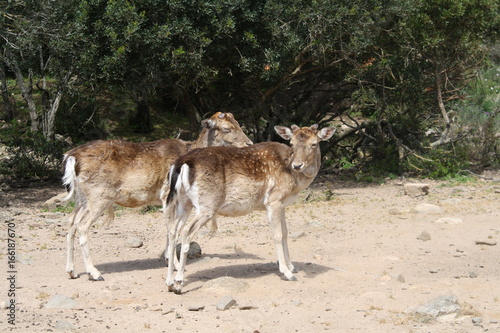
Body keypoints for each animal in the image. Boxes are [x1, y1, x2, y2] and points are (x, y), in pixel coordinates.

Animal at [62, 111, 252, 280]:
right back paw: (94, 273)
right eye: (227, 128)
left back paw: (72, 271)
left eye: (239, 124)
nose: (249, 144)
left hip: (81, 198)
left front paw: (169, 259)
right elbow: (172, 228)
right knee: (82, 225)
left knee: (71, 221)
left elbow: (172, 228)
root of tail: (71, 157)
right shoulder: (167, 193)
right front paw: (175, 264)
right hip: (99, 195)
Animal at [164, 123, 336, 292]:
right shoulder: (273, 200)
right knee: (186, 231)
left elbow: (286, 233)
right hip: (207, 204)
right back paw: (179, 282)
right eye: (292, 143)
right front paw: (287, 272)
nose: (297, 165)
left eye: (314, 143)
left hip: (184, 202)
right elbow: (277, 234)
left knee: (173, 230)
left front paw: (292, 267)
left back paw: (170, 282)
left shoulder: (282, 204)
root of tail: (181, 163)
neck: (294, 181)